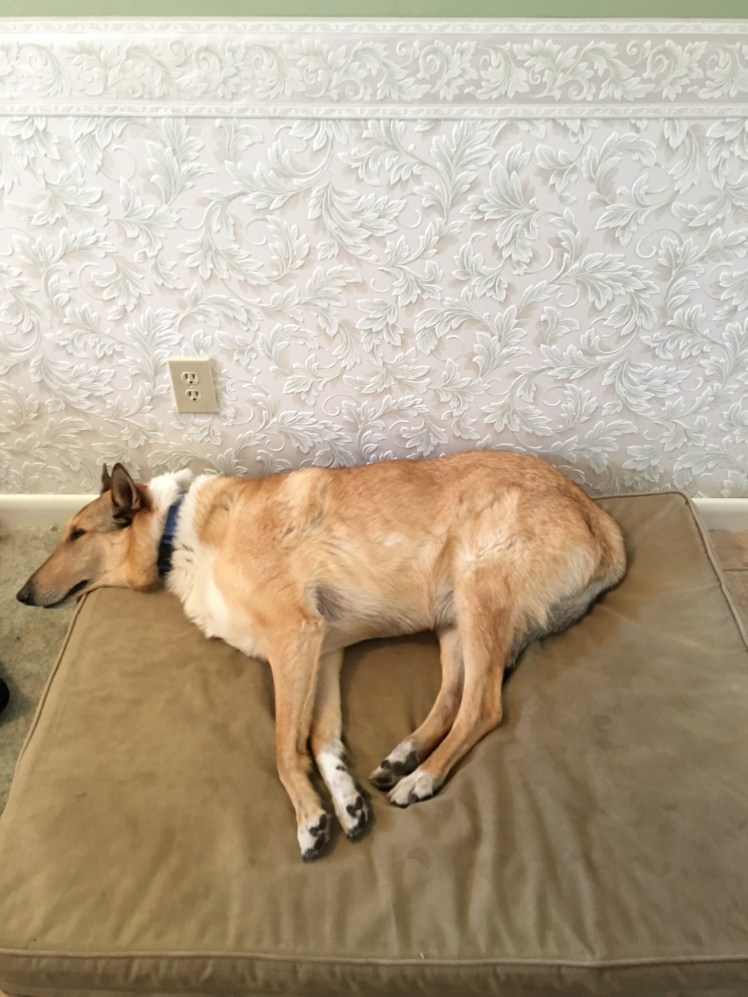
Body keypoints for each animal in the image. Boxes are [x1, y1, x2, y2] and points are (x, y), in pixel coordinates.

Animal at [17, 451, 626, 859]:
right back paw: (404, 756)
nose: (20, 595)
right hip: (452, 617)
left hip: (480, 589)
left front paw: (311, 819)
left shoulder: (295, 637)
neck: (178, 530)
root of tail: (603, 523)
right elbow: (319, 739)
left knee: (484, 706)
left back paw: (422, 778)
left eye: (76, 534)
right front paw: (346, 802)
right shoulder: (325, 652)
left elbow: (284, 749)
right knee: (455, 695)